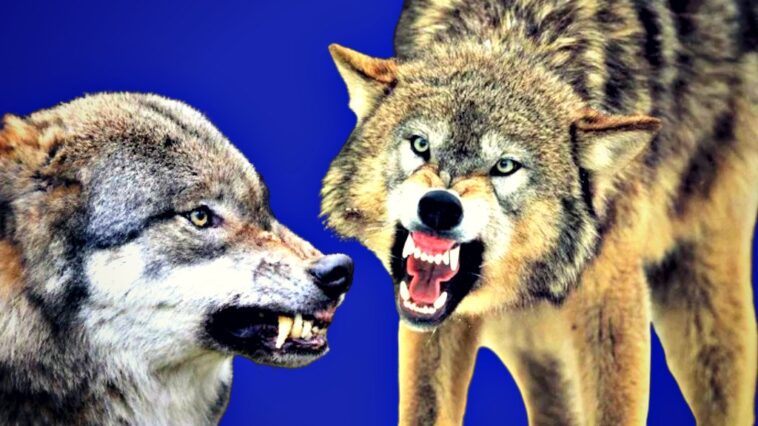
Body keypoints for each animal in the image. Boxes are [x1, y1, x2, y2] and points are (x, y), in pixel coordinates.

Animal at [322, 0, 757, 424]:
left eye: (505, 166)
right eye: (420, 145)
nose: (440, 207)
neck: (513, 28)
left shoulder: (611, 295)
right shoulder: (439, 321)